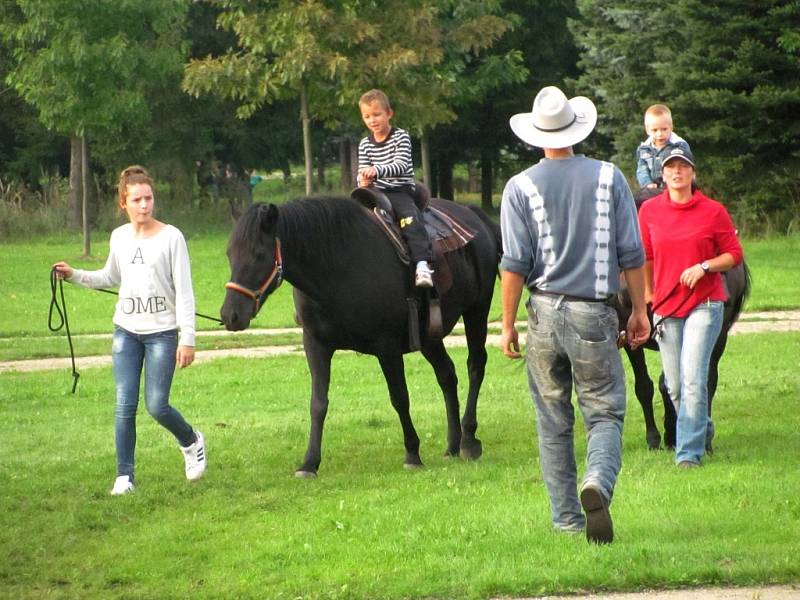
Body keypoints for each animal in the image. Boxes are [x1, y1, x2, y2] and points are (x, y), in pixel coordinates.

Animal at [219, 195, 500, 476]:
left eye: (259, 254)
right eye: (230, 254)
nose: (231, 315)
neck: (337, 268)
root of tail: (472, 215)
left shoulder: (387, 347)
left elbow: (399, 398)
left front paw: (412, 453)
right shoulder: (316, 345)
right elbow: (318, 403)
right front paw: (309, 463)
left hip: (477, 310)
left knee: (475, 366)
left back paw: (468, 440)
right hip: (430, 336)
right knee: (447, 375)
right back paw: (452, 445)